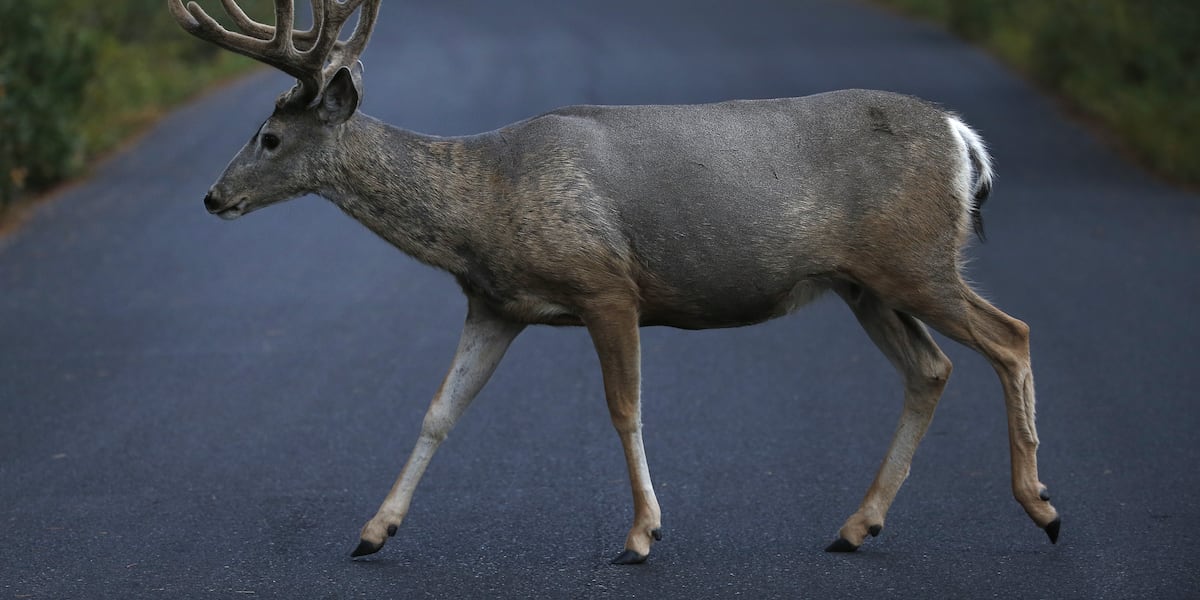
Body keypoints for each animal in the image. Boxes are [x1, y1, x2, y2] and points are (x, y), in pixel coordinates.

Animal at [168, 0, 1060, 564]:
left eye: (270, 136)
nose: (212, 196)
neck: (484, 203)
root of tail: (964, 141)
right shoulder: (494, 304)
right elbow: (438, 411)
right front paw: (372, 532)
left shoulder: (607, 284)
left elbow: (623, 409)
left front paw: (641, 536)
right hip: (864, 283)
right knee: (932, 368)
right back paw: (855, 526)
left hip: (915, 260)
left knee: (1010, 335)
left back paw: (1041, 505)